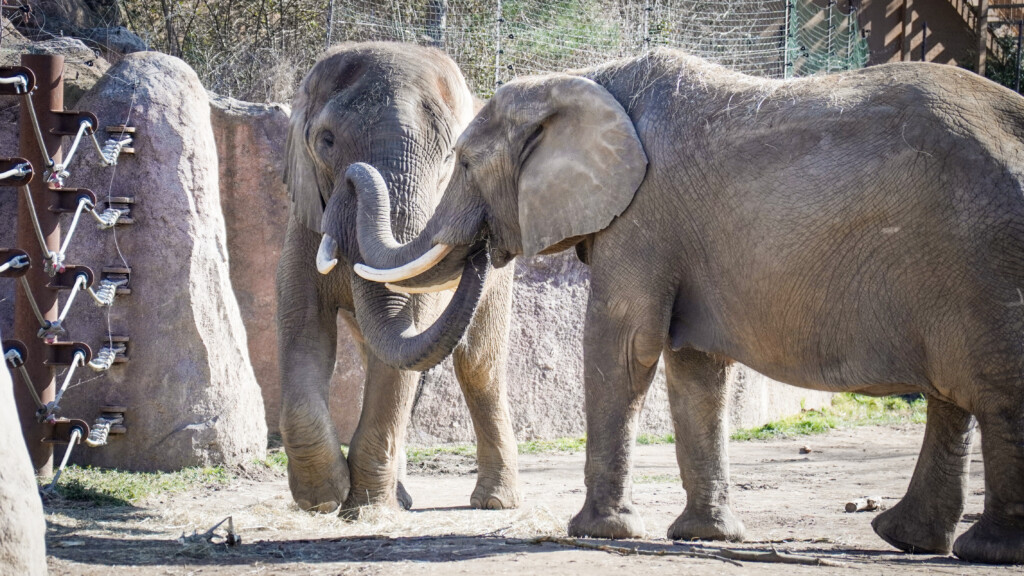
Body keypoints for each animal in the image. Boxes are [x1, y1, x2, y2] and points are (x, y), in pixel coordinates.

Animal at [276, 42, 520, 512]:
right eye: (326, 141)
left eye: (449, 159)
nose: (355, 178)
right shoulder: (303, 221)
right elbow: (303, 327)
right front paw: (324, 499)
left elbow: (406, 340)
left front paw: (366, 508)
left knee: (477, 366)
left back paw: (495, 502)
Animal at [321, 48, 1024, 561]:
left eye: (464, 162)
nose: (342, 177)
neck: (590, 78)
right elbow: (694, 368)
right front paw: (703, 538)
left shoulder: (644, 216)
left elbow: (624, 346)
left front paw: (598, 533)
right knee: (952, 397)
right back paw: (907, 540)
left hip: (984, 256)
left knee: (993, 392)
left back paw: (983, 550)